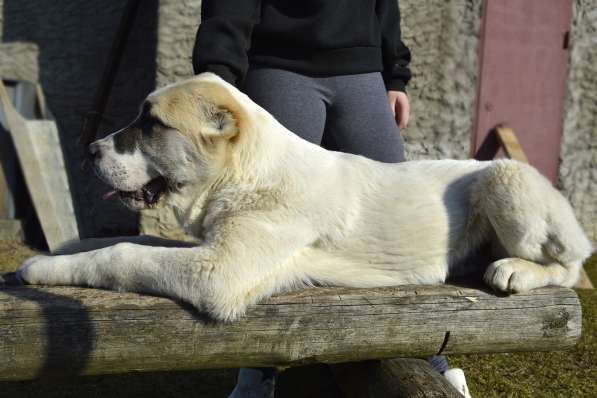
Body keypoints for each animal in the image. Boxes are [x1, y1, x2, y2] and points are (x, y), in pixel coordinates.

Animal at [16, 72, 592, 320]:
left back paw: (515, 270)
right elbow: (139, 245)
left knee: (569, 266)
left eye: (151, 123)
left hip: (507, 176)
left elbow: (124, 254)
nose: (88, 151)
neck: (247, 176)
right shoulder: (212, 247)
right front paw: (66, 247)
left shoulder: (218, 272)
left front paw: (41, 270)